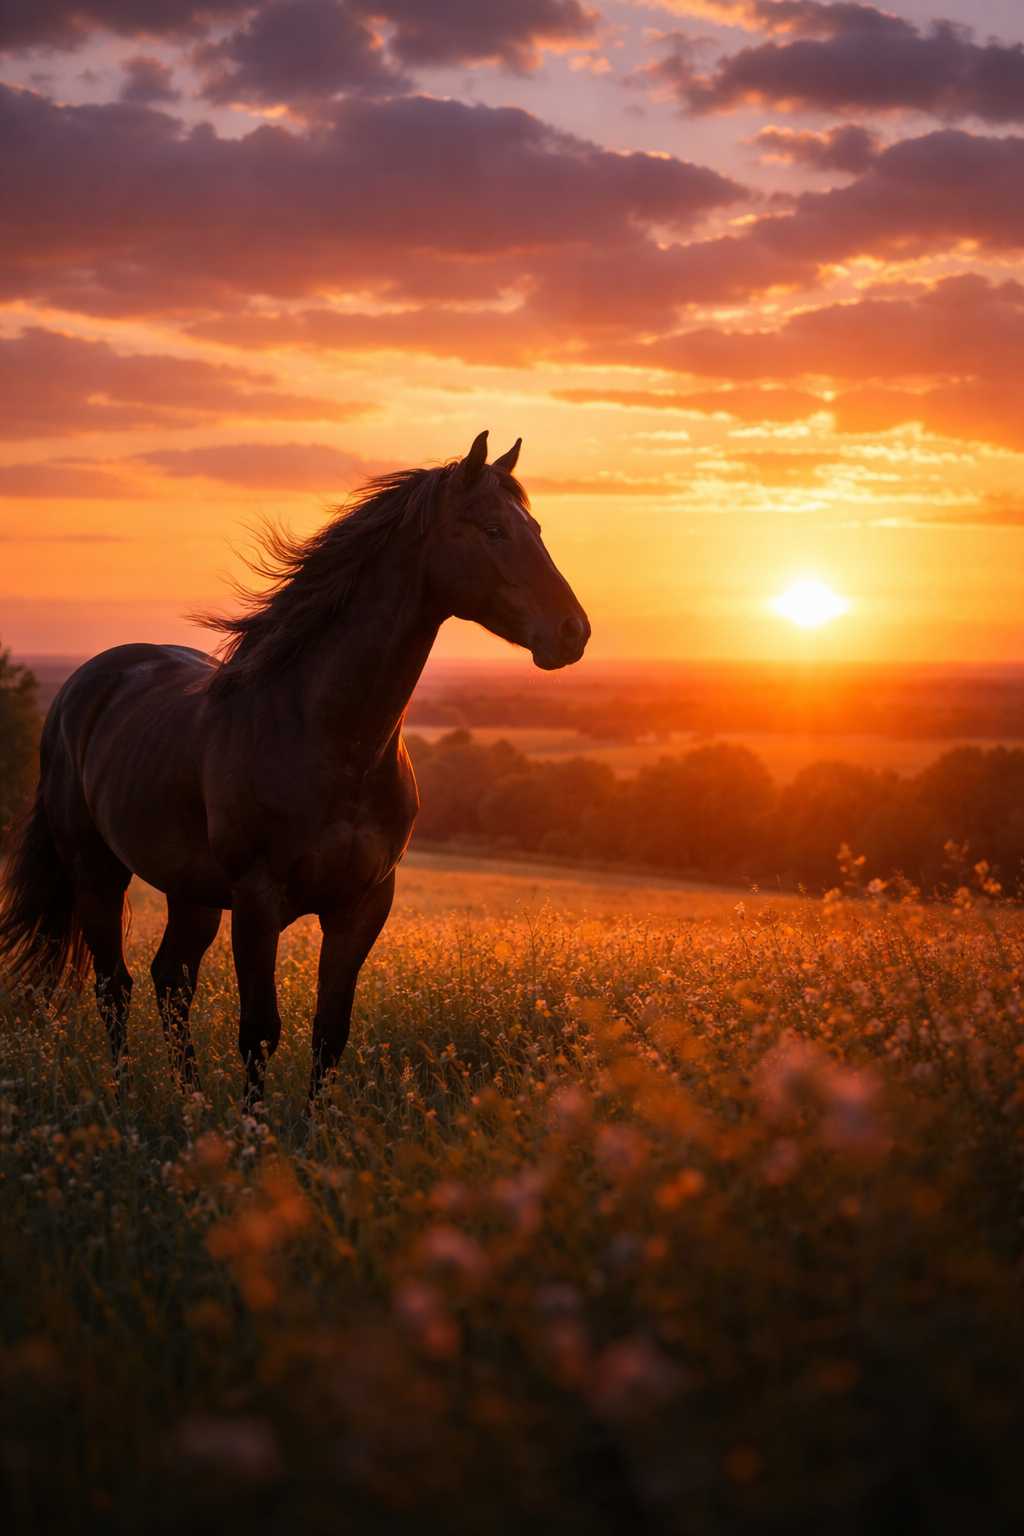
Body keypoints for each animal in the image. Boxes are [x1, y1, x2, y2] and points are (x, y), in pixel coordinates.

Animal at [0, 431, 590, 1103]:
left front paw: (314, 1131)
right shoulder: (259, 903)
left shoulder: (362, 904)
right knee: (113, 987)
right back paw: (126, 1099)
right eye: (493, 530)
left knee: (170, 980)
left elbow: (329, 1033)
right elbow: (259, 1031)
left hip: (191, 892)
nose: (573, 632)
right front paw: (254, 1130)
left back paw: (190, 1101)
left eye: (535, 527)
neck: (331, 740)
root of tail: (83, 684)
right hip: (97, 873)